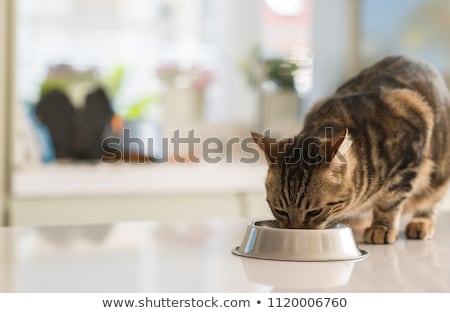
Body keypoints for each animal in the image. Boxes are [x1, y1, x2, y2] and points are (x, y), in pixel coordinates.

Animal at [253, 56, 450, 244]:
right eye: (280, 211)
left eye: (314, 212)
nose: (293, 231)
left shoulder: (408, 155)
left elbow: (390, 199)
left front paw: (381, 227)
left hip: (439, 175)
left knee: (429, 202)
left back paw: (421, 222)